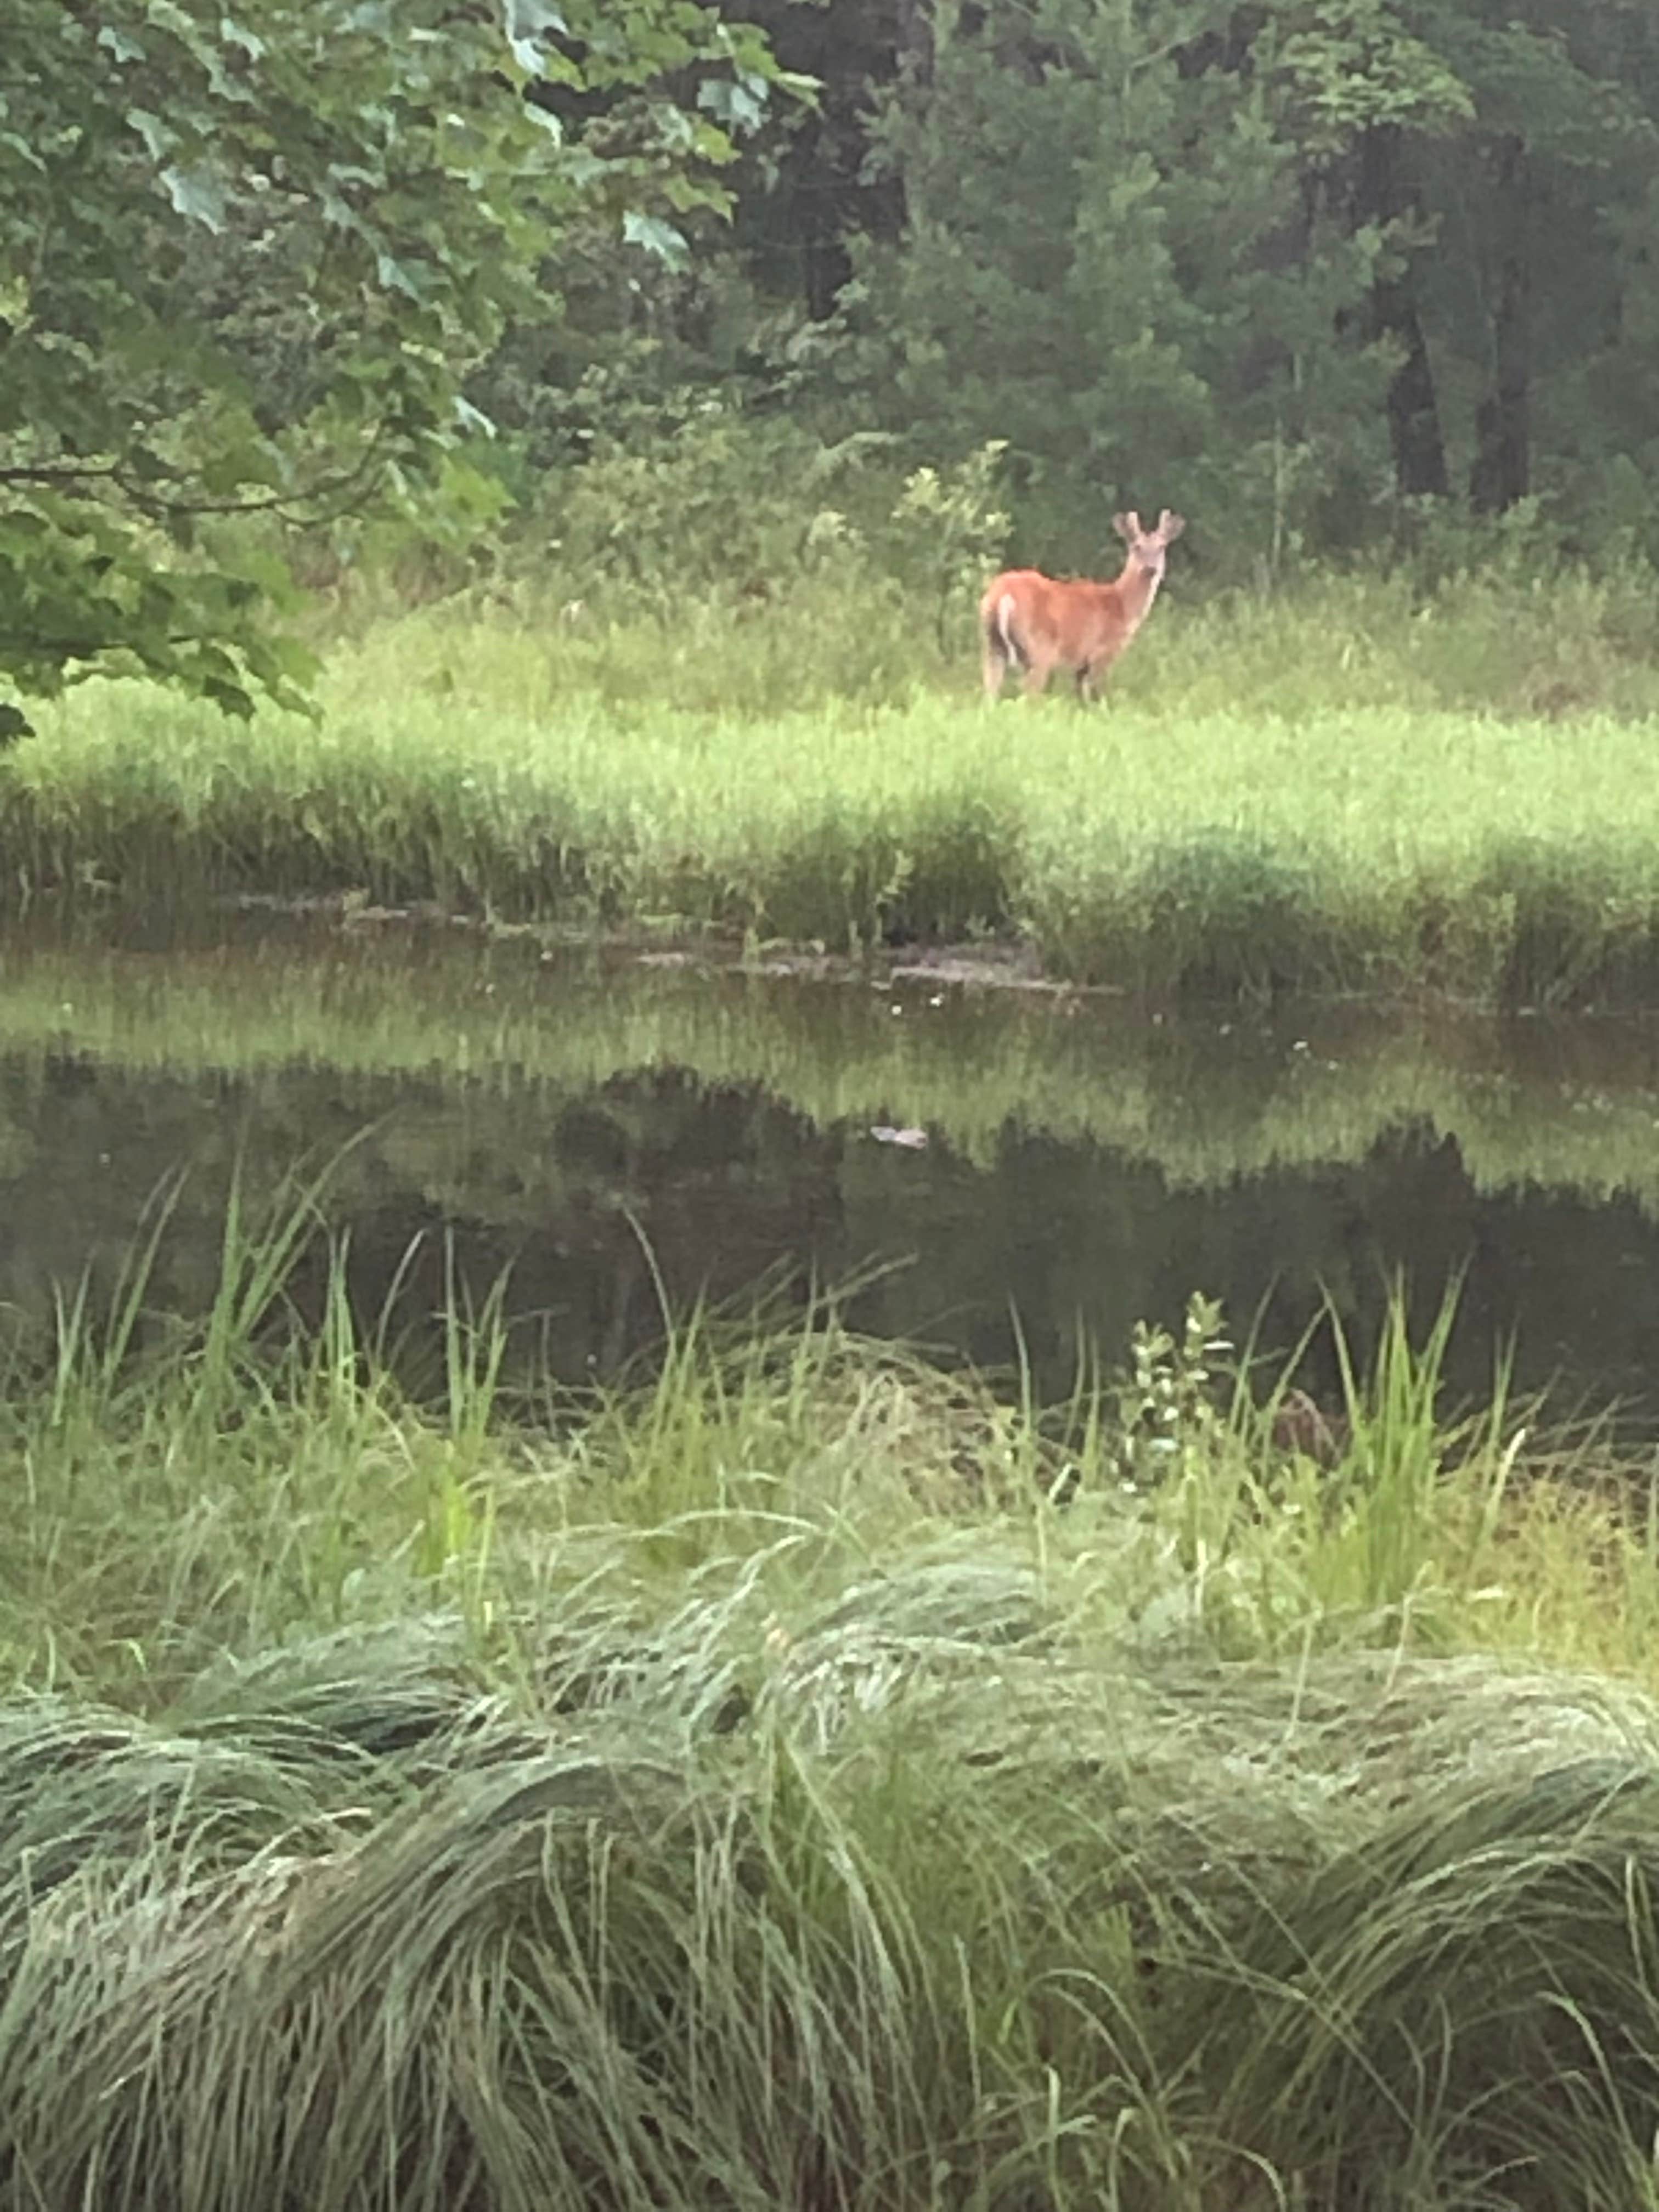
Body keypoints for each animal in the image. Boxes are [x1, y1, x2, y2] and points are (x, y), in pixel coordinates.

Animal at [982, 509, 1186, 699]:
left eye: (1162, 547)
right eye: (1137, 547)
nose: (1150, 569)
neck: (1122, 606)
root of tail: (1003, 594)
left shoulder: (1082, 664)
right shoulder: (1103, 652)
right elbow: (1099, 695)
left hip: (993, 644)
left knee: (991, 689)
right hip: (1039, 648)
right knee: (1029, 692)